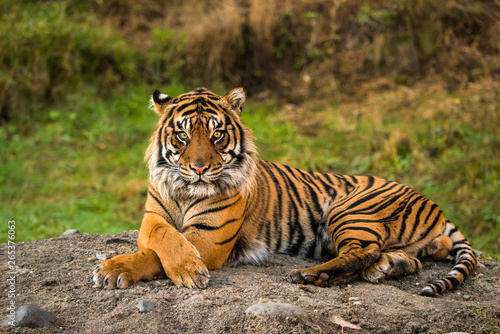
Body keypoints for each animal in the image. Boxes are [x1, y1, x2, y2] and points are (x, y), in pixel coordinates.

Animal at [93, 87, 476, 298]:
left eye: (217, 135)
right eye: (183, 135)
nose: (199, 168)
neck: (187, 191)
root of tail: (434, 205)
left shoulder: (210, 238)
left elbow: (158, 255)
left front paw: (116, 269)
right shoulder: (152, 219)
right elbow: (163, 240)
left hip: (351, 209)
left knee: (363, 250)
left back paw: (311, 275)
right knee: (412, 256)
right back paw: (385, 268)